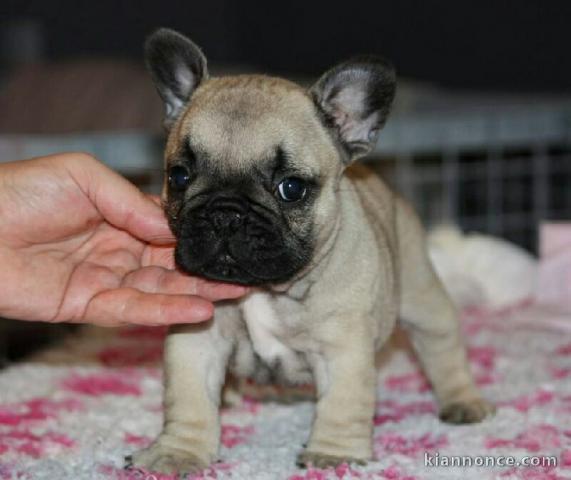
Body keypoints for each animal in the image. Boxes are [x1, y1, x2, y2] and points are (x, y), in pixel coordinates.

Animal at [127, 29, 494, 476]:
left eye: (292, 188)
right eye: (179, 177)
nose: (225, 214)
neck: (263, 289)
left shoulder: (344, 350)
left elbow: (343, 404)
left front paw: (333, 454)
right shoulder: (197, 339)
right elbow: (190, 399)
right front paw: (178, 452)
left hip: (421, 294)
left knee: (442, 346)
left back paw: (463, 401)